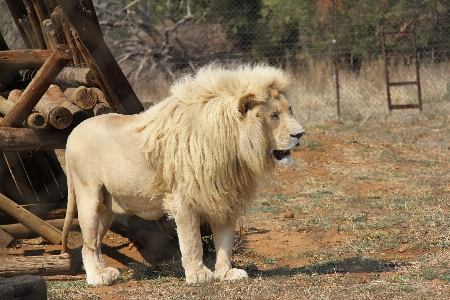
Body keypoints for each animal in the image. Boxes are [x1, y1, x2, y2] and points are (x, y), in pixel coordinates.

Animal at [61, 63, 304, 286]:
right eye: (274, 116)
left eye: (290, 110)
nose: (300, 134)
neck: (232, 148)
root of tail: (73, 133)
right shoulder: (183, 200)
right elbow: (192, 241)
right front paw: (198, 274)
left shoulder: (225, 197)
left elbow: (224, 241)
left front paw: (226, 273)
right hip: (89, 195)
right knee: (89, 242)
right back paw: (97, 277)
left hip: (107, 207)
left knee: (92, 243)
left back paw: (105, 272)